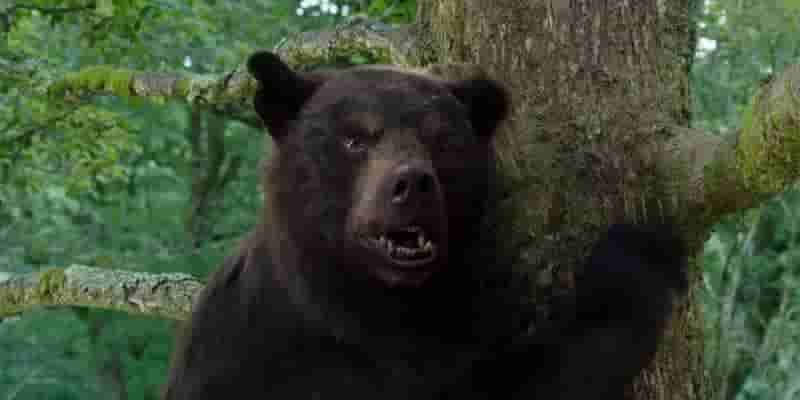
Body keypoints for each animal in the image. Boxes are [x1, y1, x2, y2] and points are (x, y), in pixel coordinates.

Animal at [162, 51, 688, 400]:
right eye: (354, 138)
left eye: (440, 137)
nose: (412, 183)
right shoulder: (245, 355)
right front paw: (634, 255)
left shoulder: (455, 334)